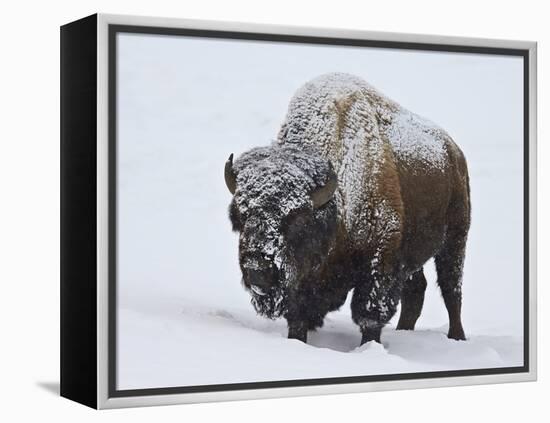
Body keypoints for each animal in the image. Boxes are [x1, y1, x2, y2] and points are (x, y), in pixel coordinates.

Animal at [225, 72, 474, 344]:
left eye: (298, 220)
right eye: (241, 216)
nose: (256, 269)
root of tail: (454, 152)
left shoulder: (380, 261)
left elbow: (369, 314)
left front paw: (370, 346)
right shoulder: (304, 283)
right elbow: (298, 316)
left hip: (455, 240)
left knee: (452, 289)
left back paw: (457, 337)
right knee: (416, 290)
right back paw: (404, 331)